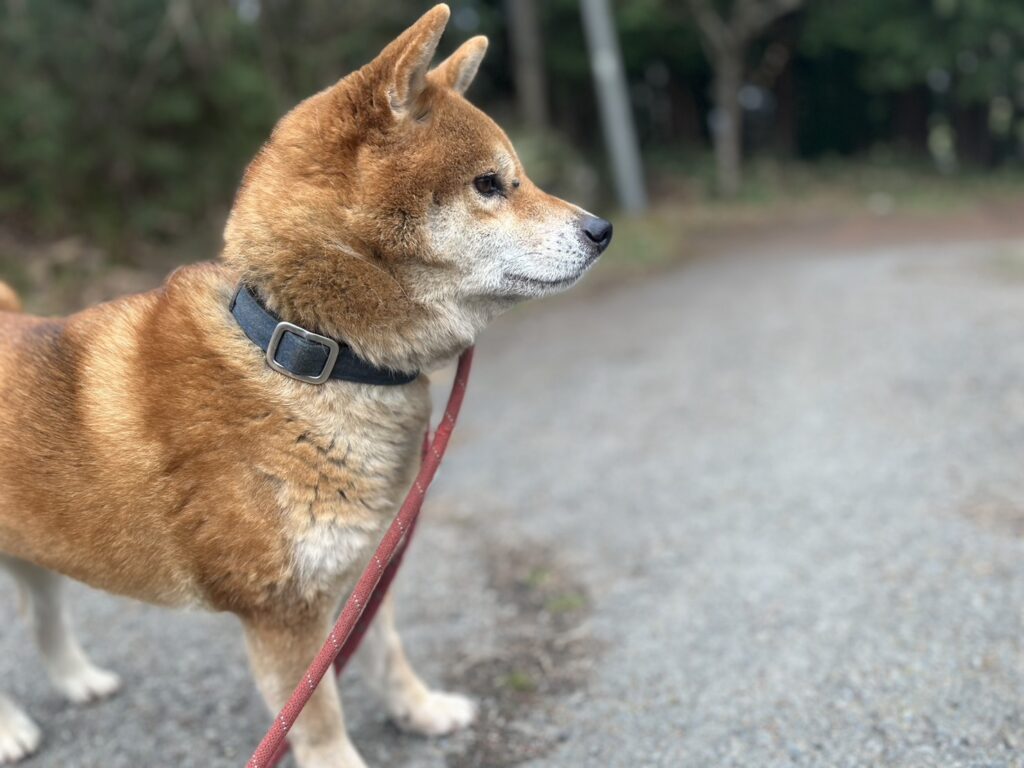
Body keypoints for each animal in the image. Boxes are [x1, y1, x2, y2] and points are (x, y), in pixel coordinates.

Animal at [0, 5, 612, 767]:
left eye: (515, 177)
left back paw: (79, 681)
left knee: (40, 614)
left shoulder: (360, 566)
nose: (602, 228)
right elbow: (317, 719)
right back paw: (11, 728)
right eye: (490, 184)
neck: (311, 354)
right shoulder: (282, 610)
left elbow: (385, 654)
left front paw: (421, 710)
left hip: (36, 551)